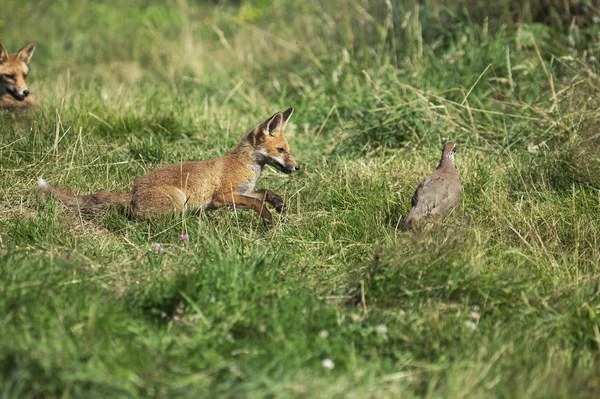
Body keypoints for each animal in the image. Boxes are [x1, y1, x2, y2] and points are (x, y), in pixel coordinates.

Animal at [38, 108, 300, 230]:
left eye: (288, 149)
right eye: (281, 150)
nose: (297, 167)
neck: (246, 165)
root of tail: (132, 194)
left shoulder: (242, 192)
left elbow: (263, 193)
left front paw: (278, 204)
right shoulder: (222, 196)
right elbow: (256, 203)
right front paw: (268, 218)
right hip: (178, 201)